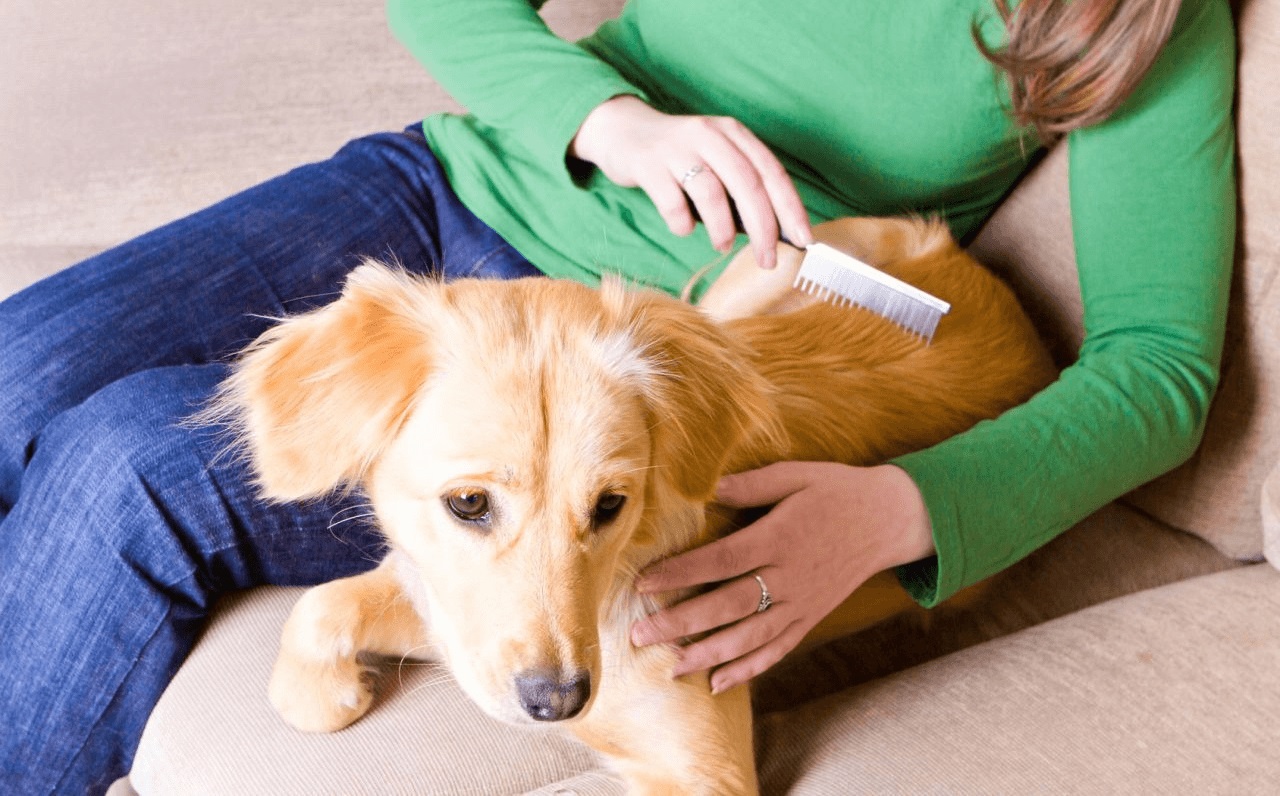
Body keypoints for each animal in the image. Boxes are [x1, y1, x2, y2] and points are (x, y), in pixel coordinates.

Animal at [207, 214, 1049, 793]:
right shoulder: (449, 610)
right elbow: (320, 604)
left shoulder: (704, 769)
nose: (557, 703)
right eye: (469, 503)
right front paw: (320, 693)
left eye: (611, 505)